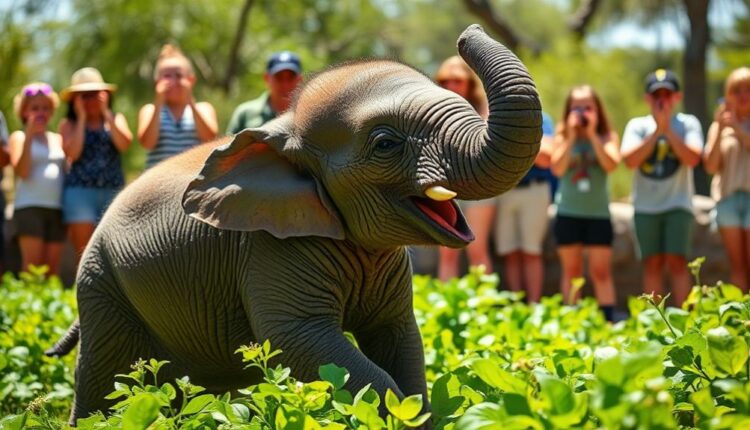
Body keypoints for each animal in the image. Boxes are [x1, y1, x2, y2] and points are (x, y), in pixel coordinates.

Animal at [60, 24, 541, 423]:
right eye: (385, 144)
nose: (468, 31)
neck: (287, 130)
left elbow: (401, 339)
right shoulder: (267, 247)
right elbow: (302, 340)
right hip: (102, 283)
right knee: (105, 378)